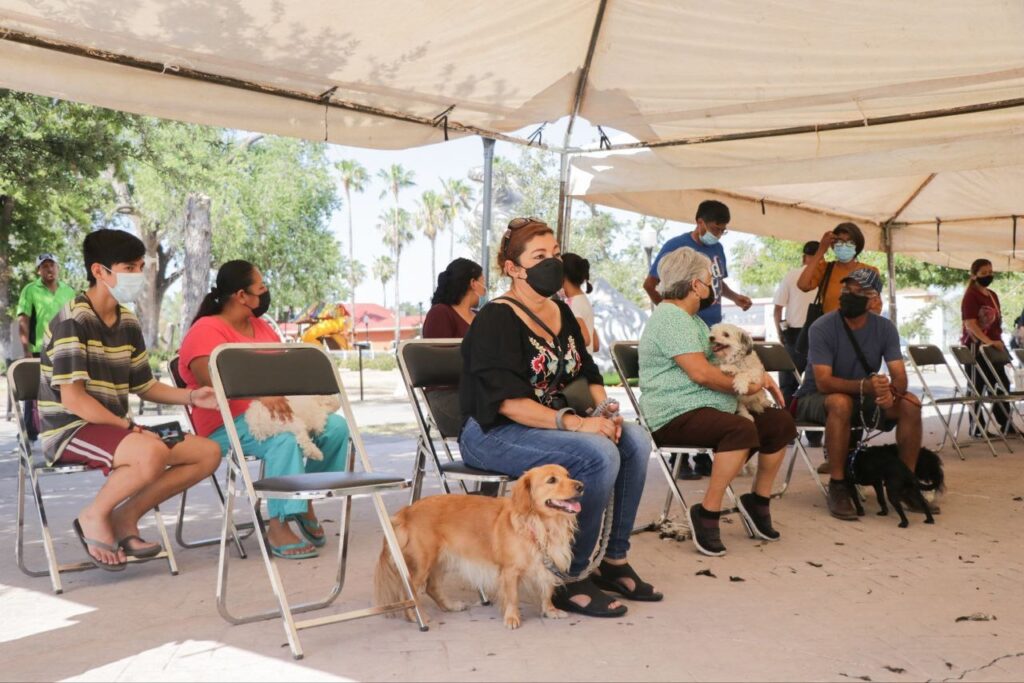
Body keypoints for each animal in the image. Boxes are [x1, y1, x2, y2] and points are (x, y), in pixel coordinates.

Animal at [376, 464, 585, 630]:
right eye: (552, 480)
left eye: (568, 475)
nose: (581, 486)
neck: (541, 524)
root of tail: (406, 512)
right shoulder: (510, 571)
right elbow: (513, 597)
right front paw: (512, 617)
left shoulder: (549, 563)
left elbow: (547, 590)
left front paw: (550, 610)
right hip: (422, 563)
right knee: (407, 591)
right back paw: (415, 616)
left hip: (441, 560)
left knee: (432, 587)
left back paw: (450, 606)